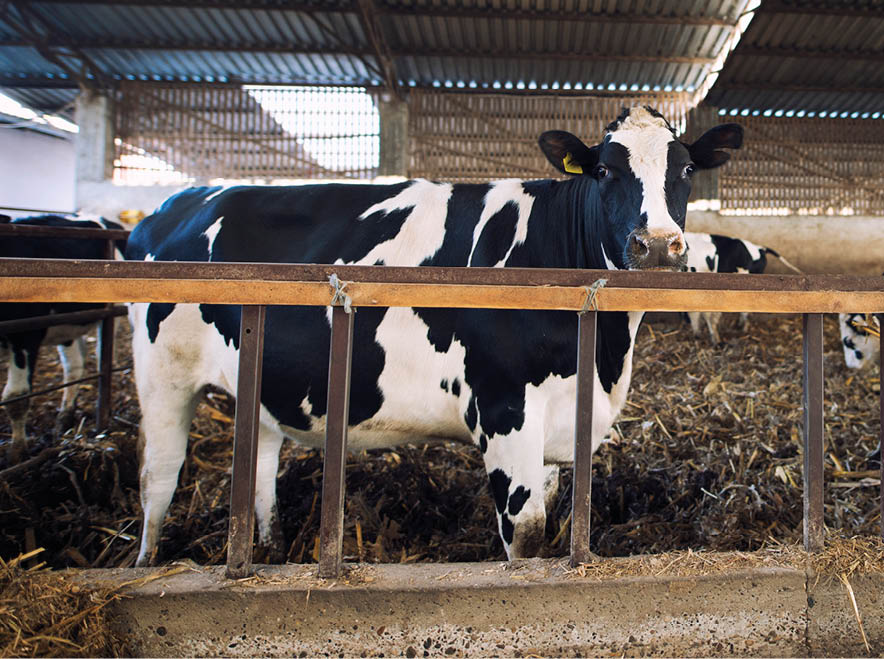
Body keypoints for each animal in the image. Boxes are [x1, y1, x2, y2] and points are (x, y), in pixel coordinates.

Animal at [0, 214, 126, 461]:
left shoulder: (26, 336)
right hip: (69, 324)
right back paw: (65, 415)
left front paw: (16, 453)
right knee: (75, 366)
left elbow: (16, 397)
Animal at [126, 106, 743, 566]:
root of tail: (173, 203)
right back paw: (147, 562)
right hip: (163, 375)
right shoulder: (503, 409)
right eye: (606, 172)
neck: (603, 357)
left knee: (259, 464)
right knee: (158, 477)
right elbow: (526, 534)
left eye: (687, 170)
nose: (658, 245)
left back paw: (272, 548)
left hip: (258, 376)